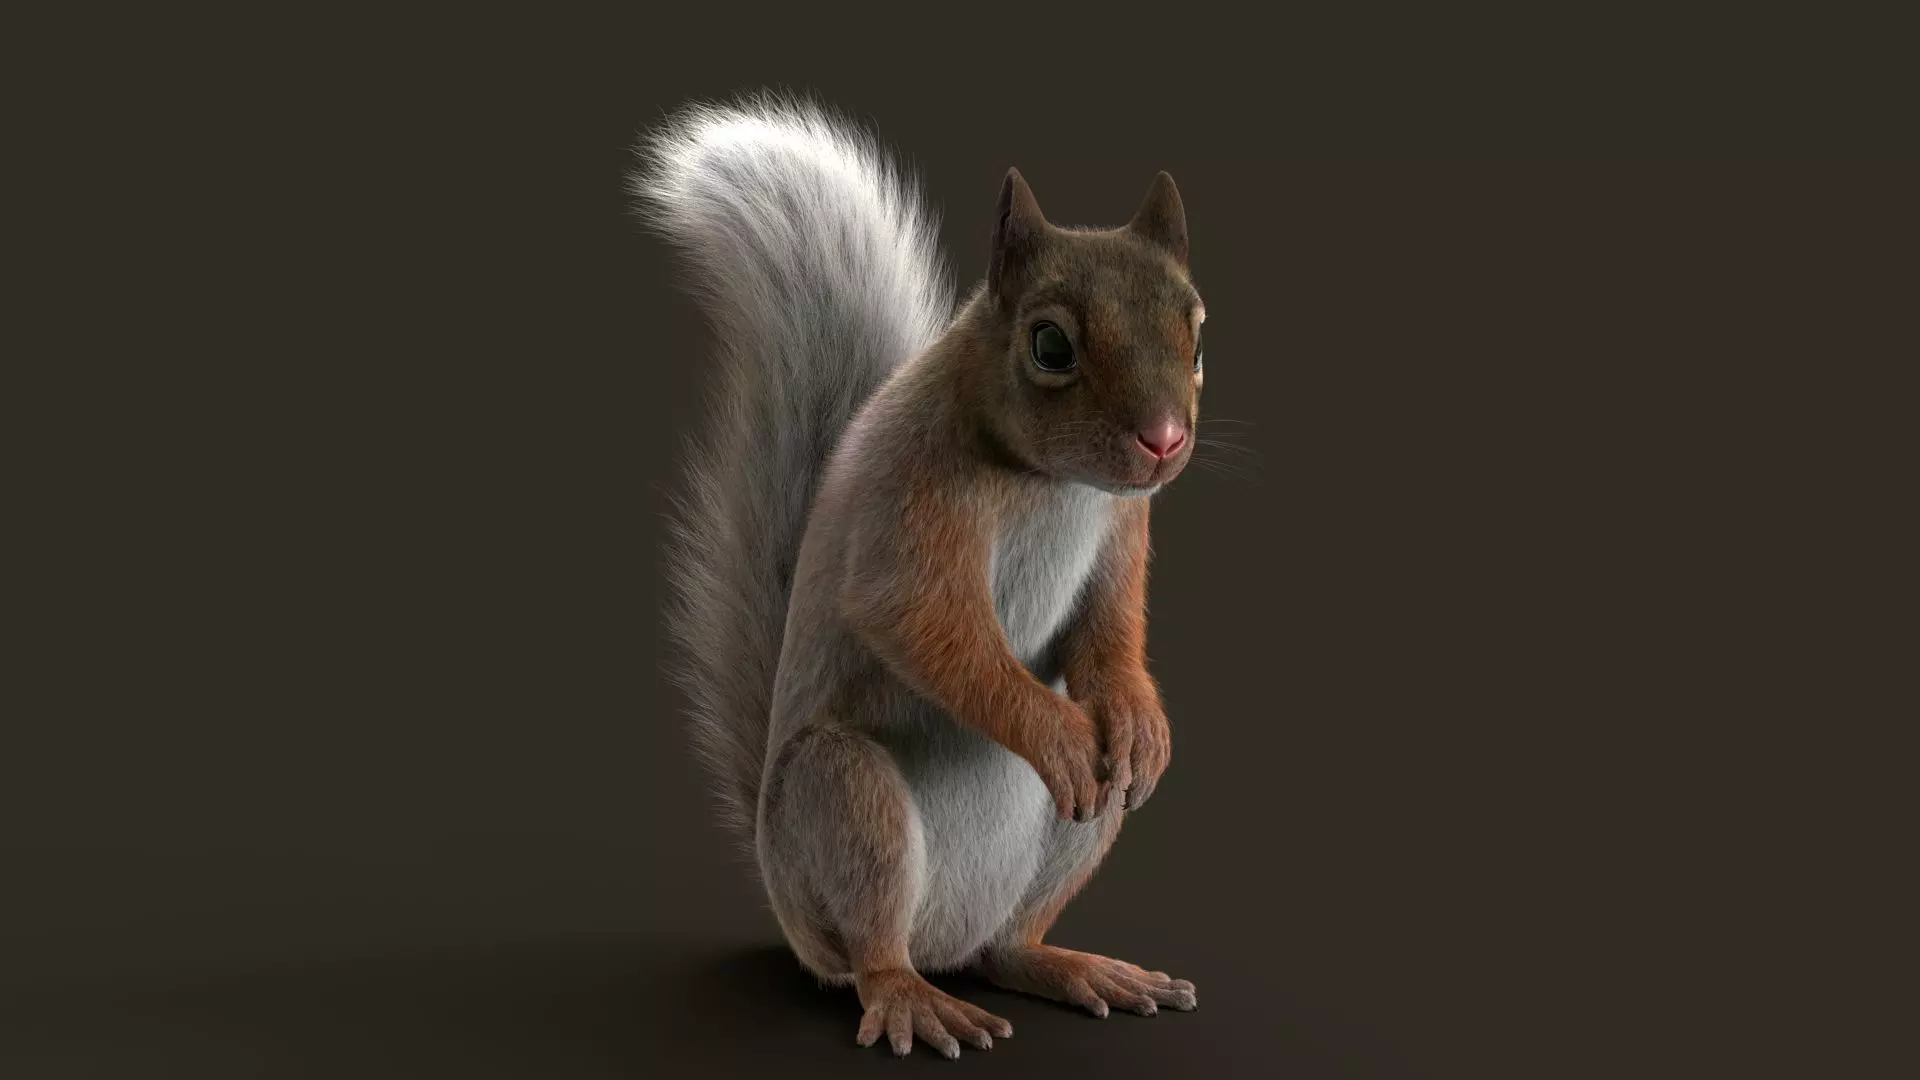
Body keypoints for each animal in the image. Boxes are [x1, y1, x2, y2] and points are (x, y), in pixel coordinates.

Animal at [632, 95, 1205, 1058]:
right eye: (1050, 344)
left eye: (1199, 333)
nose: (1164, 440)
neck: (1051, 482)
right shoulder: (912, 499)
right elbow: (923, 625)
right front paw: (1053, 733)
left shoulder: (1126, 525)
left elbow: (1112, 625)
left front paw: (1138, 719)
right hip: (841, 800)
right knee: (871, 946)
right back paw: (909, 996)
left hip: (1076, 837)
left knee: (1010, 941)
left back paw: (1067, 964)